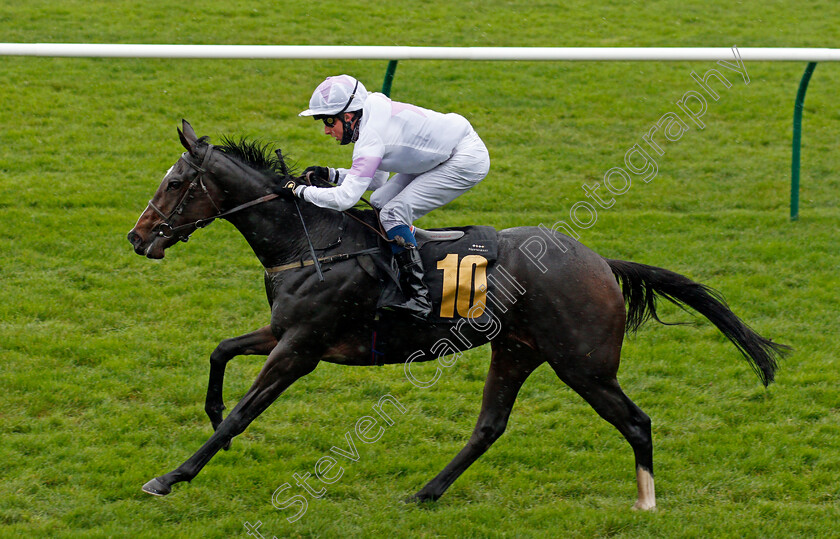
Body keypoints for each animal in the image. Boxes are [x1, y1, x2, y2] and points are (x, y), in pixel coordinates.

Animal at [124, 121, 788, 510]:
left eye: (176, 183)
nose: (137, 237)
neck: (309, 240)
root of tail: (599, 260)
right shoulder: (284, 332)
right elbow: (219, 351)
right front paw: (209, 413)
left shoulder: (301, 349)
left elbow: (244, 412)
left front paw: (170, 476)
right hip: (517, 350)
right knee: (489, 426)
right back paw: (426, 491)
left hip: (585, 365)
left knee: (637, 421)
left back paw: (646, 503)